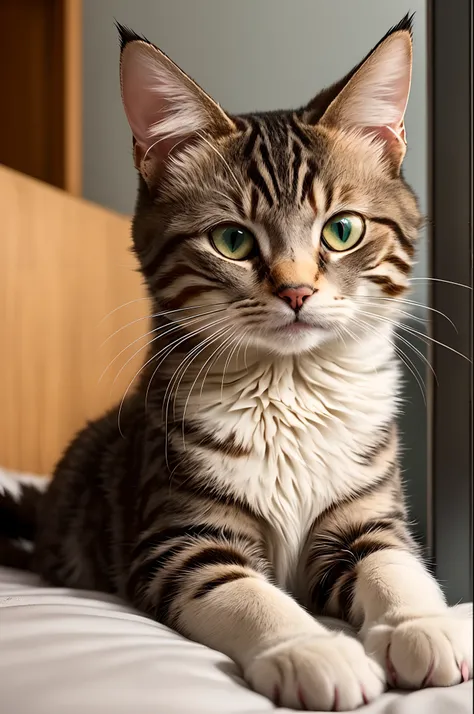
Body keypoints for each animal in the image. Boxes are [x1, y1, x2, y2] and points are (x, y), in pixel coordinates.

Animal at [1, 13, 472, 708]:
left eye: (342, 230)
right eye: (232, 240)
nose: (297, 291)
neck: (291, 389)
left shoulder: (365, 515)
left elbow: (396, 565)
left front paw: (424, 625)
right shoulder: (178, 536)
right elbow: (248, 595)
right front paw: (311, 650)